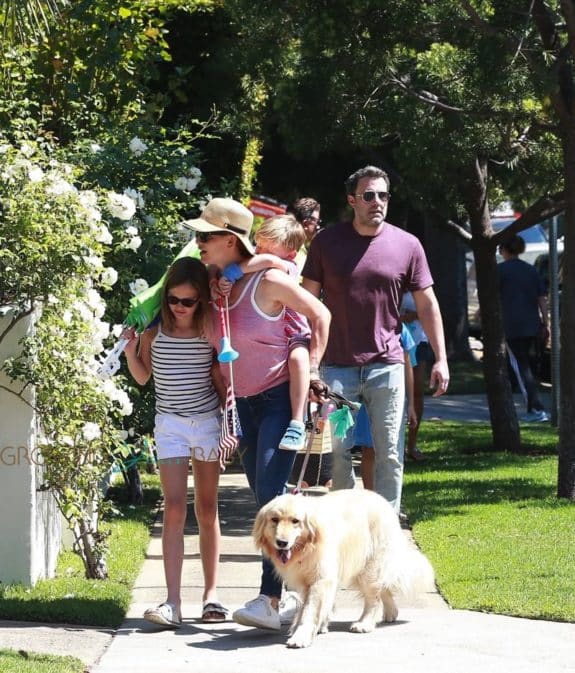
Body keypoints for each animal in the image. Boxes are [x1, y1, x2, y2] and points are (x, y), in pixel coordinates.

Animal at [254, 486, 434, 648]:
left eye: (295, 521)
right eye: (274, 520)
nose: (282, 542)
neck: (307, 546)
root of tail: (385, 503)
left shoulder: (320, 579)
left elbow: (310, 610)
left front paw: (302, 636)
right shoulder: (308, 580)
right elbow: (309, 606)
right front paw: (315, 627)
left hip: (369, 566)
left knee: (373, 597)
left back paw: (364, 623)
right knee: (382, 588)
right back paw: (391, 613)